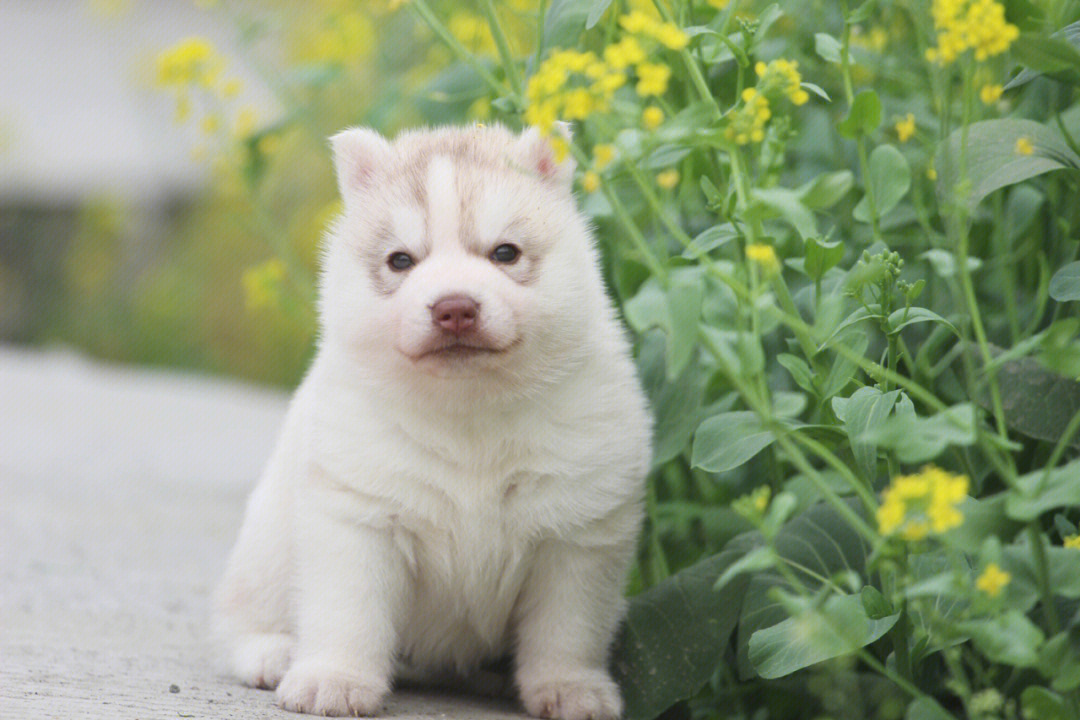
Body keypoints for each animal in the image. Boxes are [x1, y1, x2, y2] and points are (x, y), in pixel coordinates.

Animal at [210, 125, 648, 720]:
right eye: (401, 260)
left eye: (505, 252)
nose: (455, 308)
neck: (468, 413)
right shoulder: (358, 515)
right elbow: (349, 610)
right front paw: (334, 679)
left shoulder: (578, 532)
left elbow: (567, 626)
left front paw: (570, 688)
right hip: (265, 549)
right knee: (243, 616)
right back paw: (273, 652)